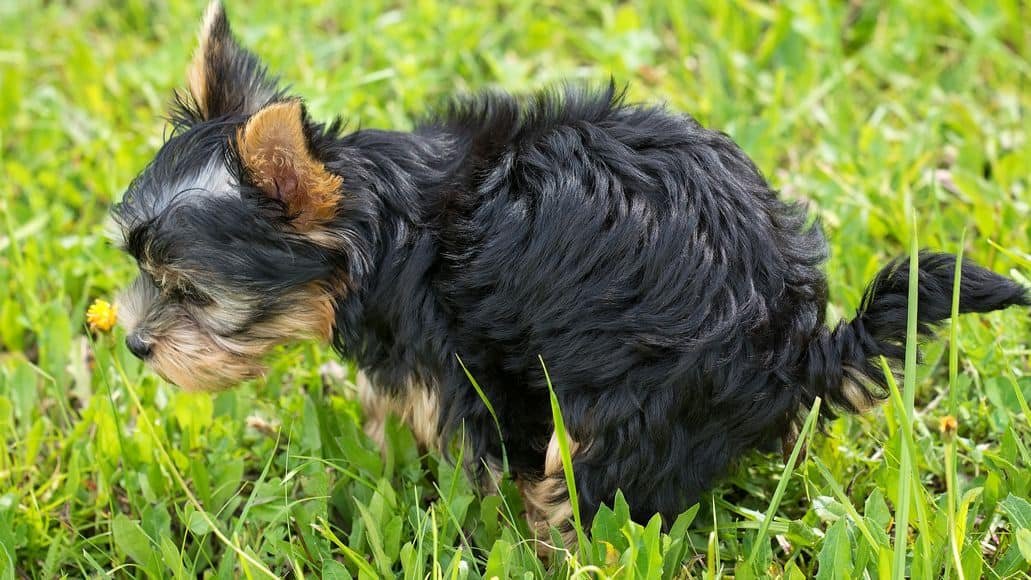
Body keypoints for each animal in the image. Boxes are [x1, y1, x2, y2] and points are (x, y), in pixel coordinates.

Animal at [114, 1, 1031, 548]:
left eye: (192, 293)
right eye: (139, 267)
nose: (132, 344)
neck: (381, 224)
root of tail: (796, 345)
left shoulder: (467, 364)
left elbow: (478, 446)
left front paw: (478, 522)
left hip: (639, 401)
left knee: (600, 481)